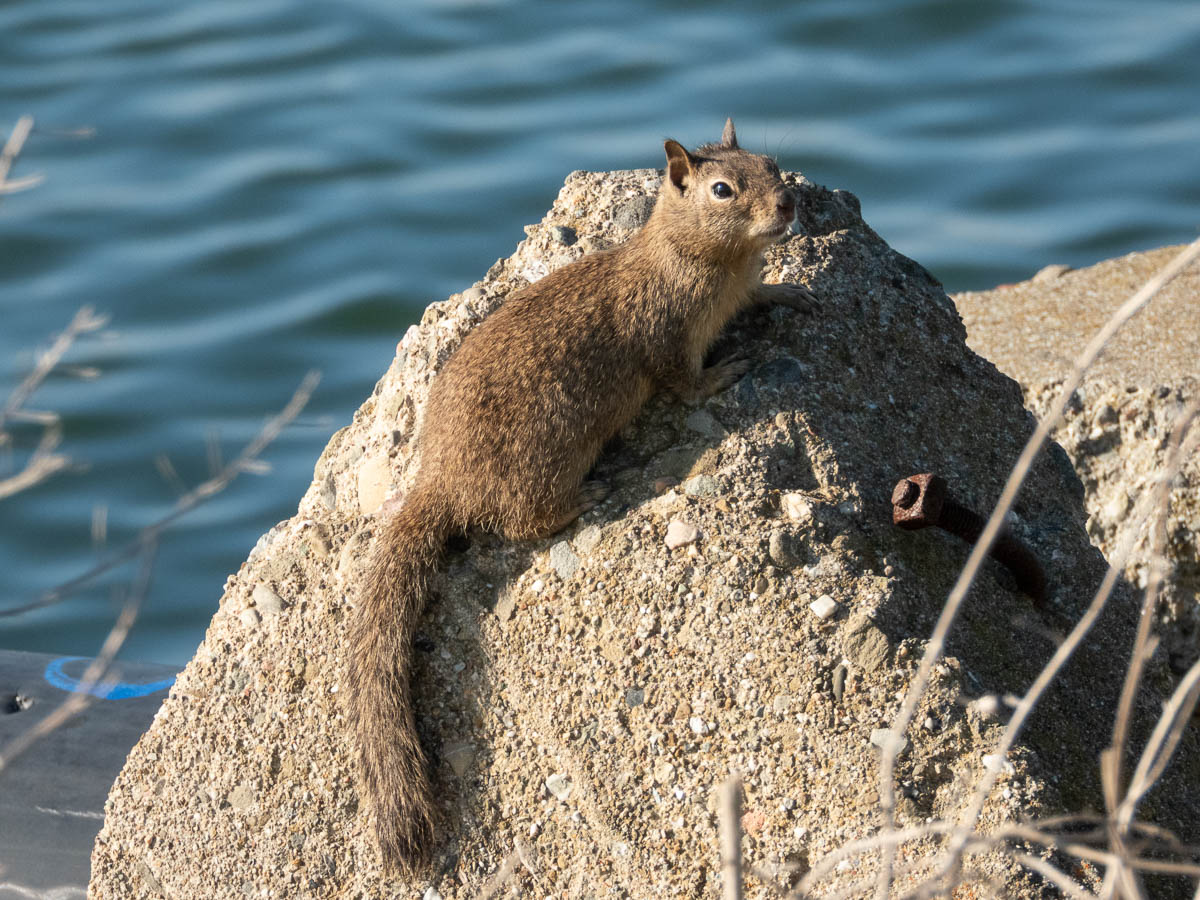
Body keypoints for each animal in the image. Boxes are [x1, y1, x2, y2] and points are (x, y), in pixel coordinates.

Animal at [348, 118, 818, 869]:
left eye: (772, 164)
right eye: (722, 189)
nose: (789, 205)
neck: (708, 260)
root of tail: (439, 480)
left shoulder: (737, 292)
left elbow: (762, 297)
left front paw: (792, 293)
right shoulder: (666, 341)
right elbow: (686, 384)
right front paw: (728, 373)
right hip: (545, 463)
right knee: (523, 523)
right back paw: (596, 488)